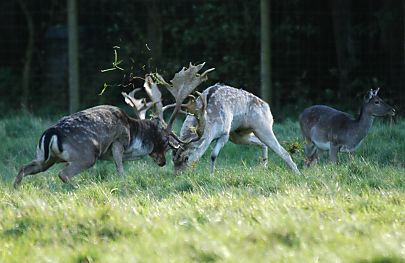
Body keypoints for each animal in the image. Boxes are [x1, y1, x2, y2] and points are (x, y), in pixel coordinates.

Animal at [12, 63, 213, 189]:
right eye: (164, 143)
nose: (162, 162)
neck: (133, 132)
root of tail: (51, 133)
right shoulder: (118, 143)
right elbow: (120, 170)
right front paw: (123, 184)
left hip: (45, 158)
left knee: (23, 167)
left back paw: (16, 191)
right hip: (85, 155)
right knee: (63, 174)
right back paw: (77, 188)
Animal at [168, 83, 300, 176]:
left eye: (186, 158)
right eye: (172, 159)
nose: (177, 176)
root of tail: (268, 107)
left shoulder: (225, 133)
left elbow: (213, 155)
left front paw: (211, 175)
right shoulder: (228, 135)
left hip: (263, 126)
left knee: (283, 152)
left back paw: (297, 173)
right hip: (239, 135)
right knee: (262, 143)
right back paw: (264, 166)